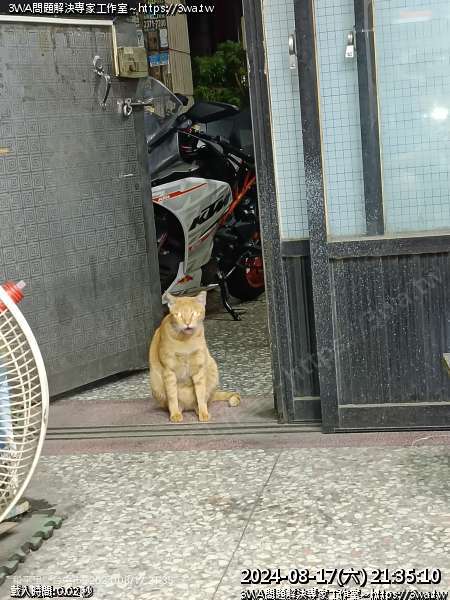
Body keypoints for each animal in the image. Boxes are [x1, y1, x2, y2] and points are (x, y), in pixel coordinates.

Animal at [149, 291, 240, 422]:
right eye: (178, 315)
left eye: (194, 313)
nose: (187, 323)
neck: (186, 341)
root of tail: (188, 406)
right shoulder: (168, 371)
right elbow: (172, 396)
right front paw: (175, 413)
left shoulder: (199, 368)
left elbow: (201, 394)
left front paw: (203, 412)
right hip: (155, 382)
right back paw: (179, 409)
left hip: (213, 368)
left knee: (204, 399)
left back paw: (198, 409)